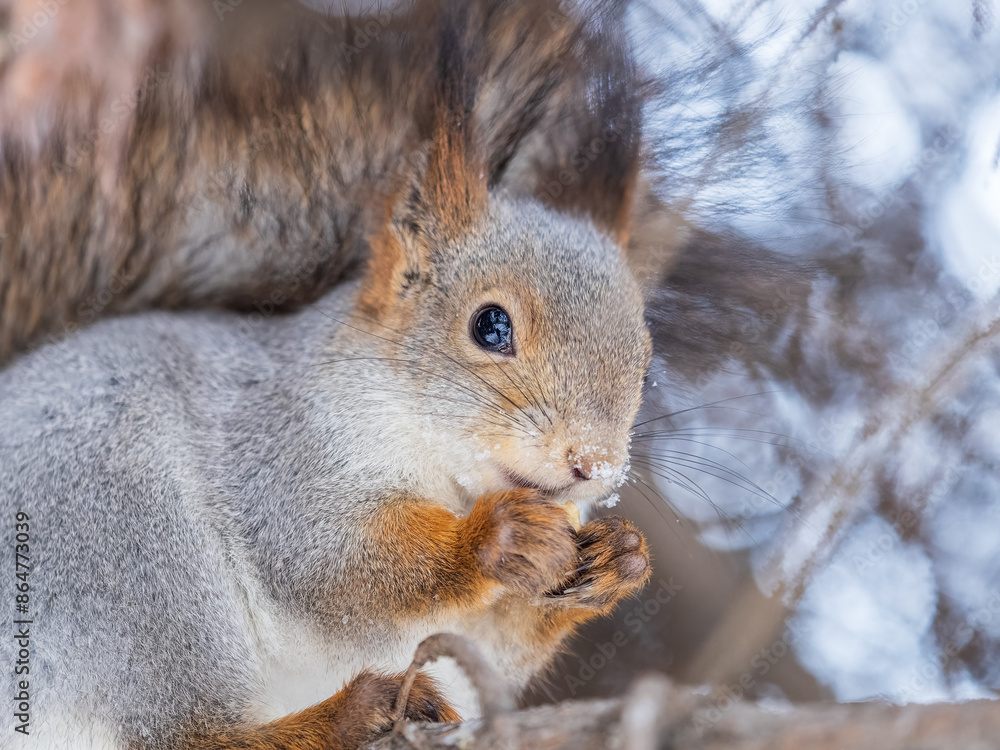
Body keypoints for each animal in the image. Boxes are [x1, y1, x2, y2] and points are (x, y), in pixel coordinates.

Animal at [1, 1, 657, 748]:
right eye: (491, 326)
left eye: (645, 362)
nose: (593, 464)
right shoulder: (280, 451)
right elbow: (329, 563)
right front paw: (495, 538)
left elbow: (501, 642)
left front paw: (618, 560)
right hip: (121, 546)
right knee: (188, 732)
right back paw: (353, 712)